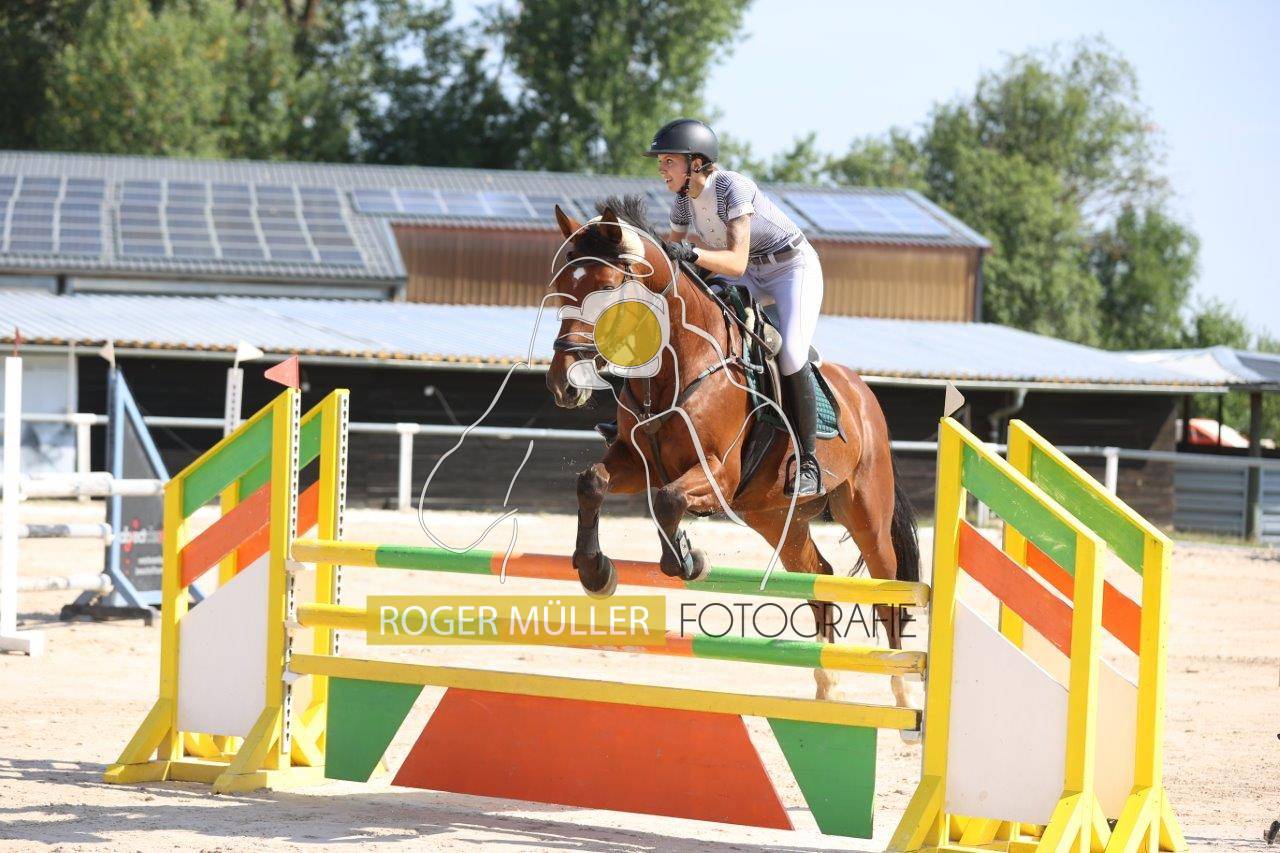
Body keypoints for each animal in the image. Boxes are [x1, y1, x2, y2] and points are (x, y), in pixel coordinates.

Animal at [545, 197, 920, 706]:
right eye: (562, 287)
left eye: (605, 288)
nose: (563, 383)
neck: (678, 363)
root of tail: (864, 397)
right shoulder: (636, 461)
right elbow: (592, 483)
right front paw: (594, 570)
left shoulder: (718, 475)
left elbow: (669, 501)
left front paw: (687, 559)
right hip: (775, 517)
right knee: (818, 574)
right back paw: (826, 689)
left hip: (866, 513)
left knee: (889, 588)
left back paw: (902, 692)